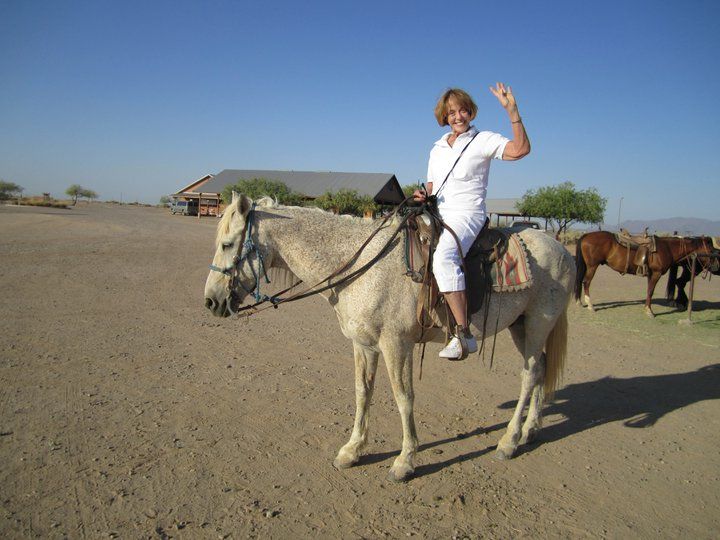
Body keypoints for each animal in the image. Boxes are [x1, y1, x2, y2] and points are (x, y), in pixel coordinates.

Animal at [205, 194, 576, 480]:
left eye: (227, 244)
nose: (210, 302)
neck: (364, 264)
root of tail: (561, 248)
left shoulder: (397, 345)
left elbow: (403, 398)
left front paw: (405, 461)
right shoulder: (364, 344)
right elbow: (362, 393)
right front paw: (352, 450)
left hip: (538, 324)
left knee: (529, 374)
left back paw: (509, 441)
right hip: (520, 326)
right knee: (541, 370)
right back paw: (531, 430)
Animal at [572, 231, 716, 316]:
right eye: (710, 249)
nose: (715, 265)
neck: (667, 248)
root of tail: (586, 236)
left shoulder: (650, 274)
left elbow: (648, 291)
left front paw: (647, 308)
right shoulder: (657, 273)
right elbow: (651, 291)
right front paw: (649, 311)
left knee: (580, 281)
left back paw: (579, 302)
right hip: (592, 266)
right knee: (586, 282)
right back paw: (590, 306)